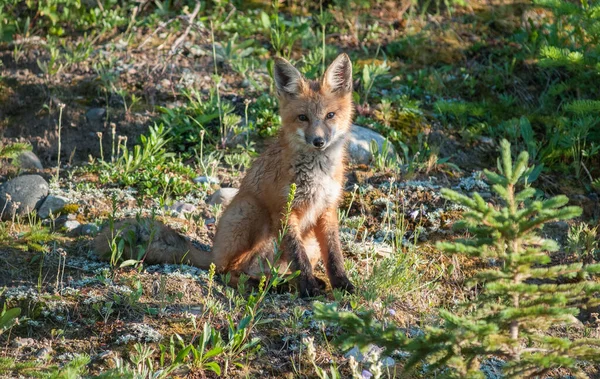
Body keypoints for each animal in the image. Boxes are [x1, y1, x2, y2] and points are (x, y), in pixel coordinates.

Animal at [93, 53, 354, 296]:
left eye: (330, 115)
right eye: (303, 117)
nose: (319, 141)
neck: (317, 173)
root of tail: (213, 253)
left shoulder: (327, 210)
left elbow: (334, 256)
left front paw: (342, 284)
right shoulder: (285, 210)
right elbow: (299, 260)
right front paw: (308, 287)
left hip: (305, 242)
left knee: (261, 272)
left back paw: (282, 283)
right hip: (251, 210)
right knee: (229, 273)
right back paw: (268, 285)